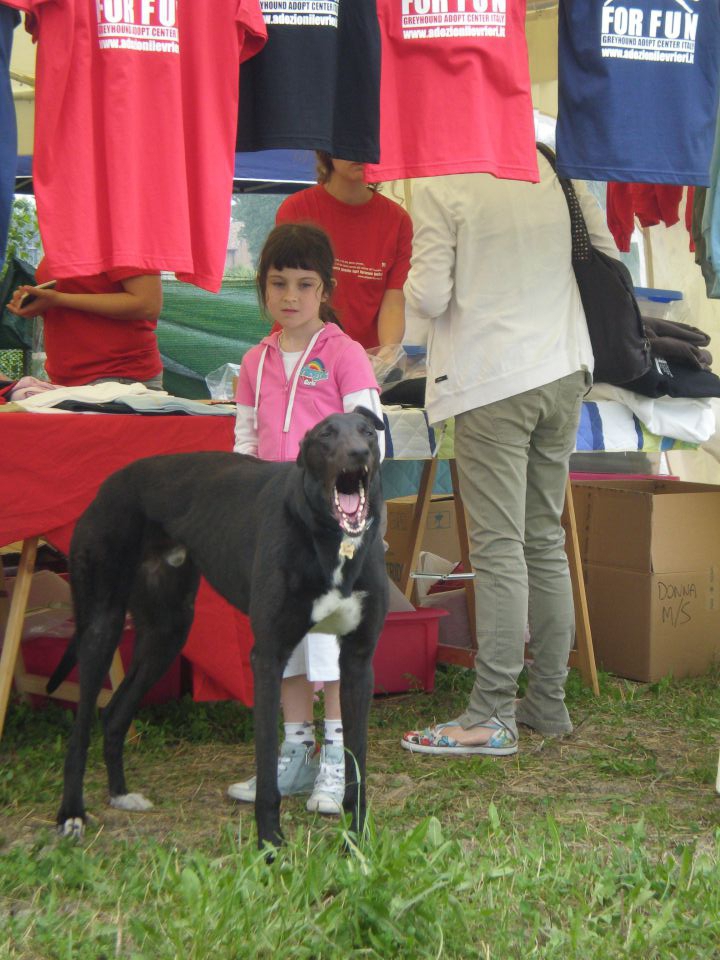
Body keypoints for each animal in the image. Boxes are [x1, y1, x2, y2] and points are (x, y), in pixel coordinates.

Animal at [47, 404, 388, 848]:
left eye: (368, 431)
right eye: (326, 435)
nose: (359, 453)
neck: (333, 541)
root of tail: (109, 485)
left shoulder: (358, 662)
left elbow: (356, 764)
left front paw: (357, 842)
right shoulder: (268, 656)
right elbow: (267, 770)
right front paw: (270, 844)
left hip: (168, 632)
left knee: (115, 713)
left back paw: (121, 794)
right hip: (101, 625)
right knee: (83, 726)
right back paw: (71, 813)